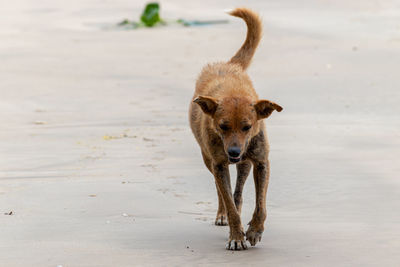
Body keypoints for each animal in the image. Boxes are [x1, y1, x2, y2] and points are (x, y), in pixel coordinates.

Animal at [189, 7, 282, 251]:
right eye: (223, 126)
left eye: (247, 127)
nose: (233, 152)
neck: (233, 90)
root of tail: (229, 64)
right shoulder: (219, 164)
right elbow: (229, 203)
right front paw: (237, 236)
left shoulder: (261, 162)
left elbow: (261, 205)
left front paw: (255, 230)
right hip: (209, 159)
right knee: (222, 192)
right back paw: (224, 216)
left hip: (246, 164)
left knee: (238, 192)